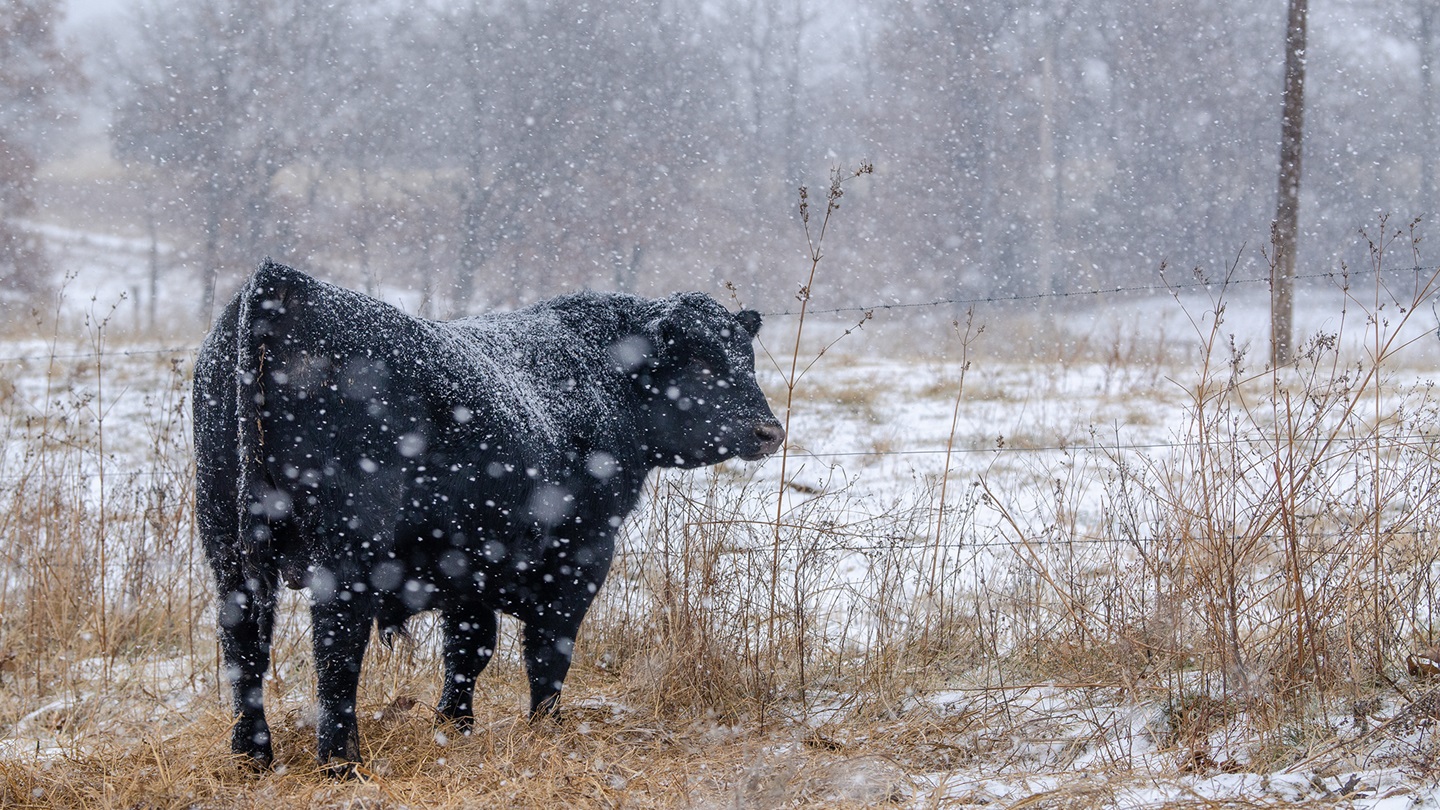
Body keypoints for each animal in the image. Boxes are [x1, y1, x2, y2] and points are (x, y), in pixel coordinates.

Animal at [194, 260, 784, 773]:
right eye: (703, 363)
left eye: (746, 358)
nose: (770, 431)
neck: (604, 380)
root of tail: (288, 283)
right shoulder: (581, 558)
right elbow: (547, 653)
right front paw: (546, 730)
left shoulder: (468, 566)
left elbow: (468, 651)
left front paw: (454, 727)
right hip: (345, 558)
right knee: (336, 650)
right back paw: (341, 762)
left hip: (228, 551)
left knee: (243, 647)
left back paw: (252, 756)